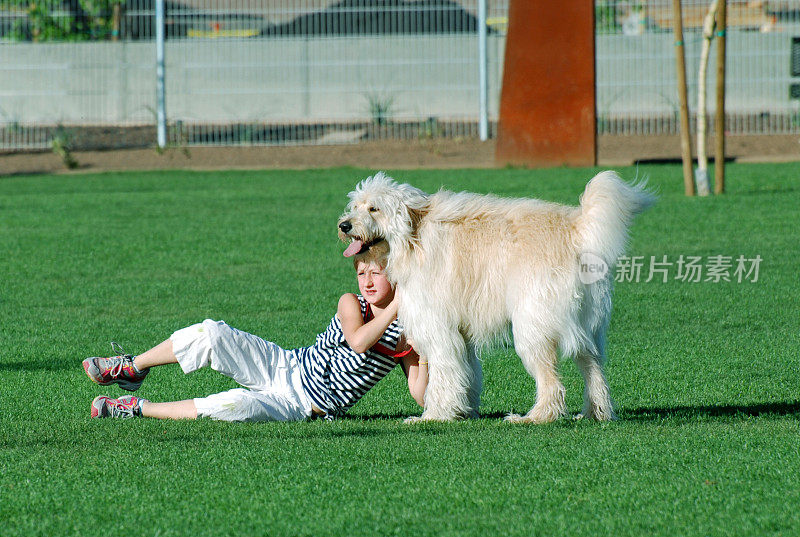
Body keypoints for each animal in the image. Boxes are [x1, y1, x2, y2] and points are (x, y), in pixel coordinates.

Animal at [338, 172, 656, 422]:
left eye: (374, 208)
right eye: (355, 206)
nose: (344, 225)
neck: (413, 236)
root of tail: (576, 230)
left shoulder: (439, 329)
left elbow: (443, 374)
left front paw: (434, 416)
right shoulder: (461, 333)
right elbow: (467, 372)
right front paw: (463, 409)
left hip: (532, 326)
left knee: (551, 381)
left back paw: (535, 417)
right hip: (587, 325)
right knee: (593, 369)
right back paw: (595, 413)